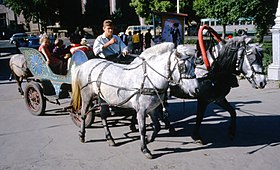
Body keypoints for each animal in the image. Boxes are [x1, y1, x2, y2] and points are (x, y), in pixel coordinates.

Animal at [71, 42, 199, 158]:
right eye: (182, 67)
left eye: (194, 66)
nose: (196, 89)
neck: (149, 78)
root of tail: (84, 64)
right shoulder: (141, 111)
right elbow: (142, 129)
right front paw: (145, 149)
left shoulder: (152, 109)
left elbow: (157, 126)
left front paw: (148, 139)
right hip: (86, 96)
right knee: (83, 114)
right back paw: (82, 134)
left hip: (102, 98)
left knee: (103, 115)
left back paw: (110, 138)